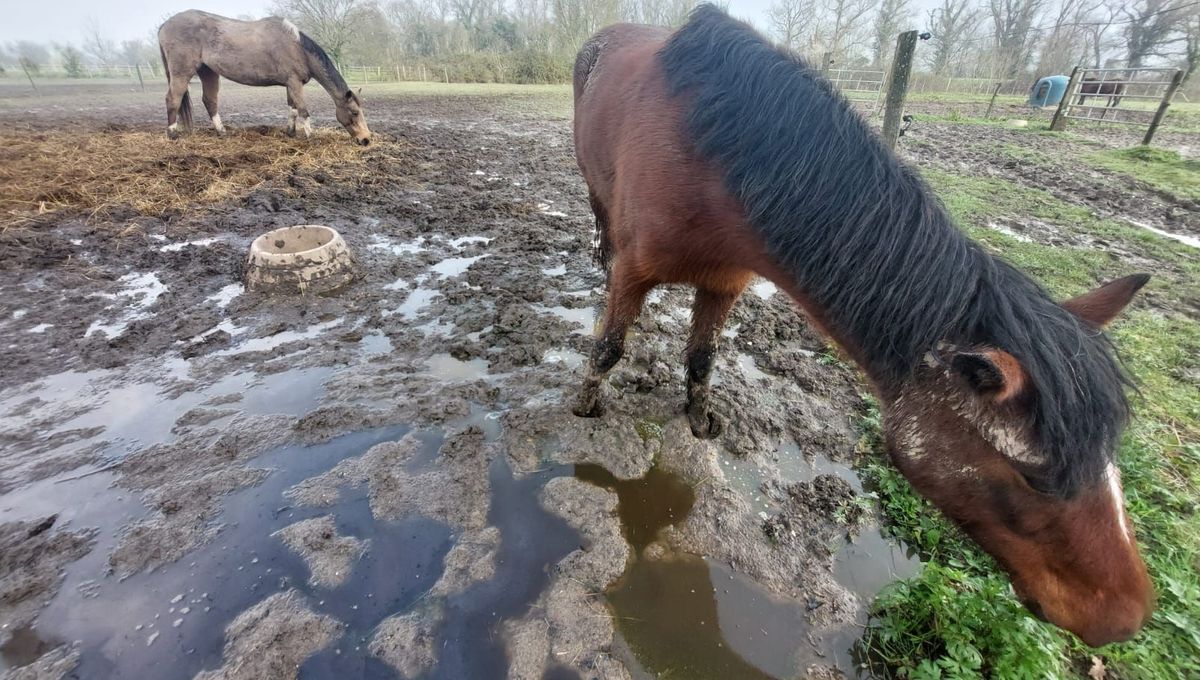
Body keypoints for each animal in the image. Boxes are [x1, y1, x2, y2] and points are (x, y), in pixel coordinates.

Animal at [157, 9, 369, 145]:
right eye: (354, 112)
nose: (366, 140)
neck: (297, 47)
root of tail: (164, 25)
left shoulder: (291, 84)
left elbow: (292, 109)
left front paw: (291, 133)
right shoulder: (295, 83)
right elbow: (303, 110)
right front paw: (311, 137)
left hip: (208, 72)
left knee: (209, 101)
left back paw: (222, 132)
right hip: (182, 73)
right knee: (173, 99)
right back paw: (172, 134)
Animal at [571, 5, 1152, 647]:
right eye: (1033, 476)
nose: (1125, 615)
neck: (712, 157)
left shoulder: (724, 282)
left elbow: (702, 358)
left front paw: (699, 420)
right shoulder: (634, 275)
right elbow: (609, 348)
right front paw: (587, 408)